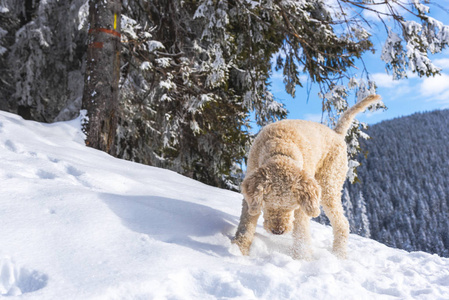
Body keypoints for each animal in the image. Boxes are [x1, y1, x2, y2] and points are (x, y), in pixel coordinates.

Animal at [231, 95, 382, 258]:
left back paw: (339, 255)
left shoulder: (303, 201)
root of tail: (336, 134)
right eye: (268, 203)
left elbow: (301, 233)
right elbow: (246, 225)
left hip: (329, 186)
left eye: (291, 206)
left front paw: (302, 259)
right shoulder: (251, 197)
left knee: (342, 223)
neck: (281, 148)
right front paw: (238, 249)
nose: (278, 231)